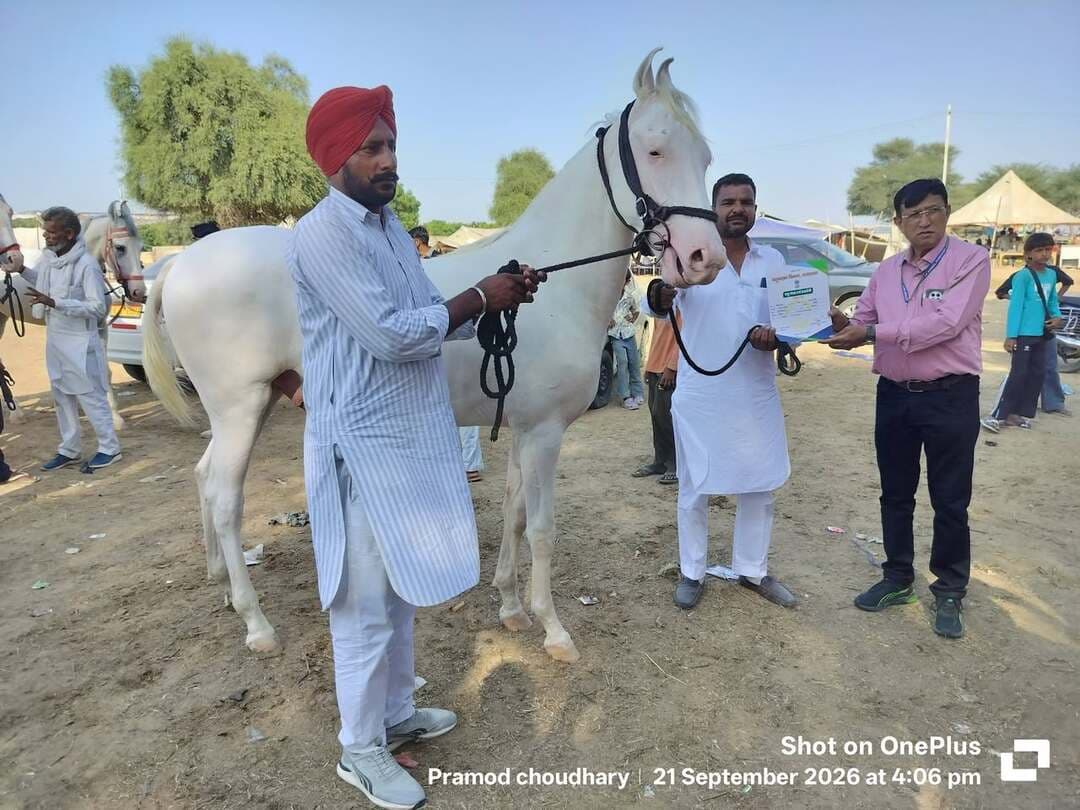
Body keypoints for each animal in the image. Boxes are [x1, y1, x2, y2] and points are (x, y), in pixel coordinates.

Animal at [142, 49, 725, 662]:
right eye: (655, 150)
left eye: (705, 157)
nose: (704, 258)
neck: (555, 286)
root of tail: (181, 264)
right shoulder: (545, 433)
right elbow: (542, 529)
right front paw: (554, 629)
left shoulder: (522, 429)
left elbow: (514, 514)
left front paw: (511, 606)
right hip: (241, 407)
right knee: (224, 498)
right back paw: (256, 624)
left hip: (252, 407)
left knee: (203, 478)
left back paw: (222, 586)